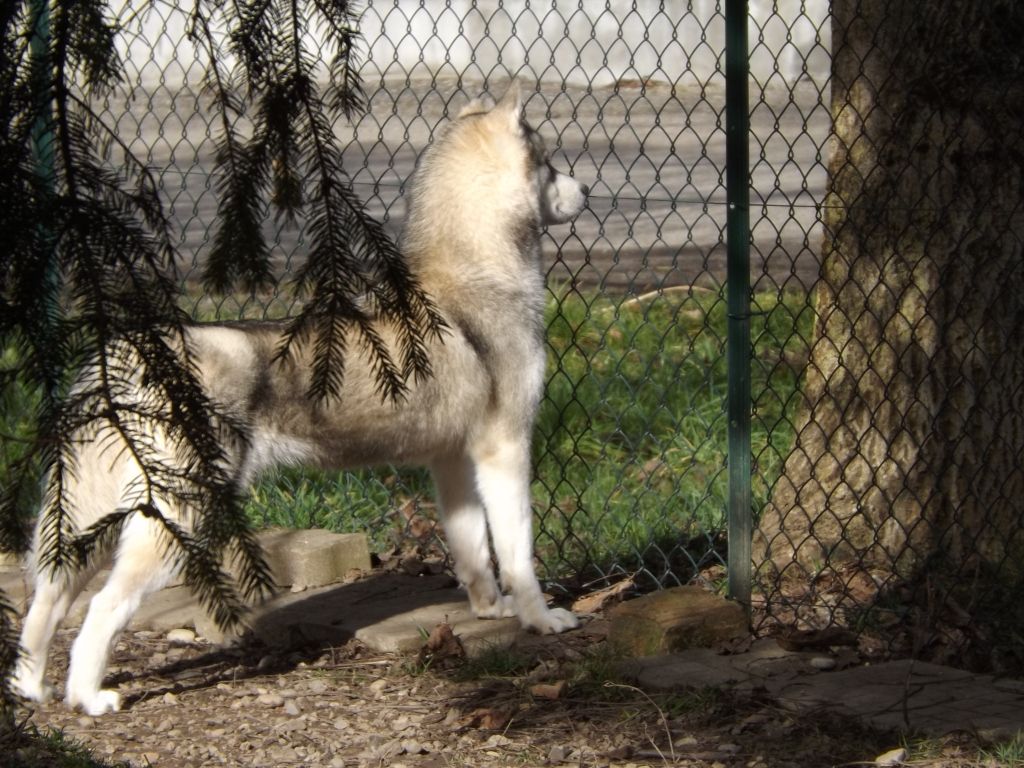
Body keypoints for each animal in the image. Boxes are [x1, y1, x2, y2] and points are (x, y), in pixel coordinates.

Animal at [12, 82, 587, 715]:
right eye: (550, 164)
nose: (586, 189)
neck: (476, 271)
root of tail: (128, 350)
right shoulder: (506, 448)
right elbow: (518, 552)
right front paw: (539, 618)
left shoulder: (452, 461)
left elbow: (473, 551)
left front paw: (489, 610)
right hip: (178, 515)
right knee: (100, 605)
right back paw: (88, 696)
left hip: (92, 511)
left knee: (49, 597)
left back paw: (32, 685)